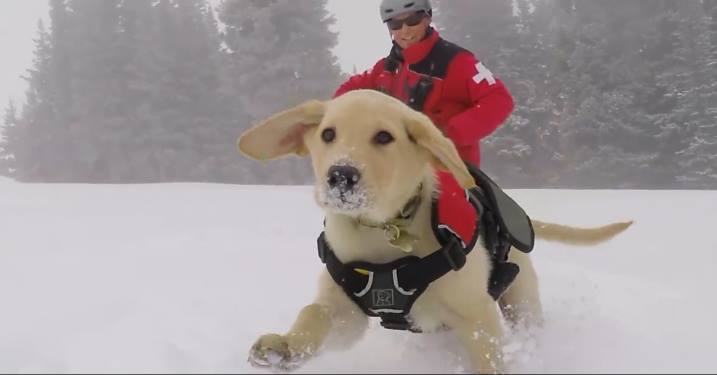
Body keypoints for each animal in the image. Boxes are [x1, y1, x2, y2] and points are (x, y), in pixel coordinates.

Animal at [238, 89, 628, 374]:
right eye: (328, 134)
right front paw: (286, 346)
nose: (341, 176)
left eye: (384, 136)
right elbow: (314, 313)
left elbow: (488, 360)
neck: (384, 232)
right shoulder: (345, 309)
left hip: (521, 301)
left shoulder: (477, 314)